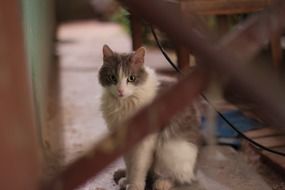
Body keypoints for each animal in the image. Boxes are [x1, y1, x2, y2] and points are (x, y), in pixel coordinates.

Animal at [99, 44, 200, 190]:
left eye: (131, 78)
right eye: (112, 77)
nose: (120, 91)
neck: (124, 104)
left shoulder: (145, 143)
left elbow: (138, 167)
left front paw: (135, 186)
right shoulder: (125, 142)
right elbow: (130, 164)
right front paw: (128, 180)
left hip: (170, 150)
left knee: (174, 175)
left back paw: (163, 183)